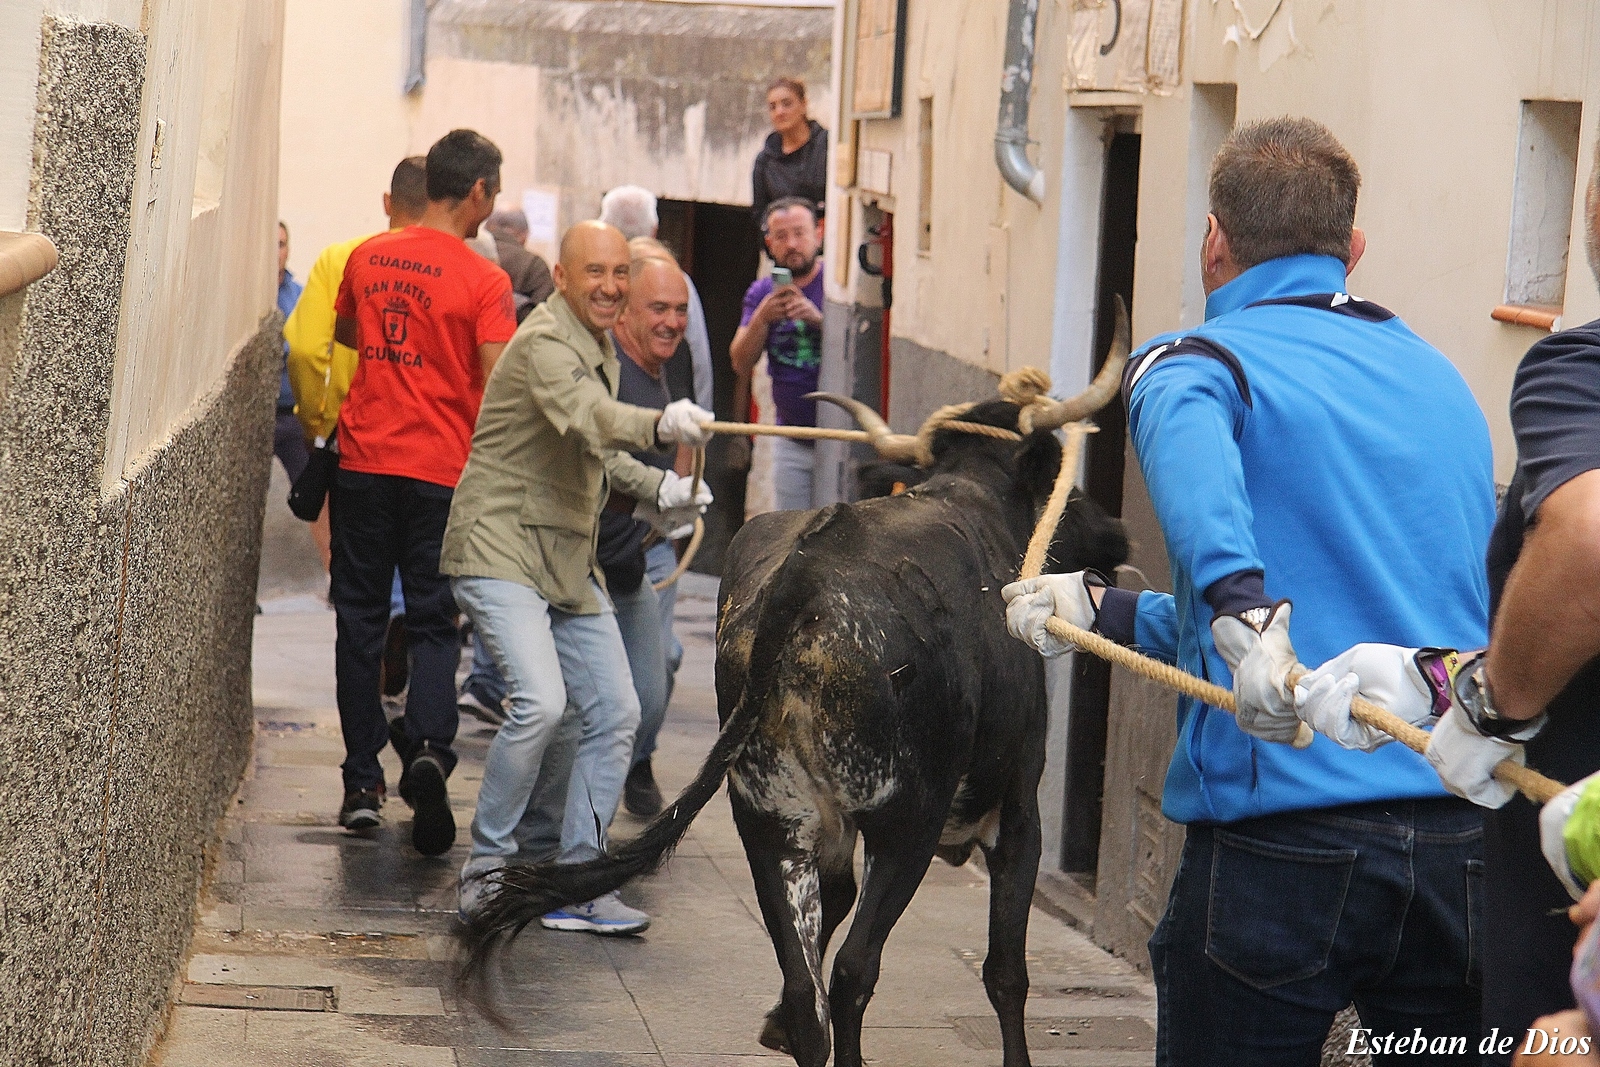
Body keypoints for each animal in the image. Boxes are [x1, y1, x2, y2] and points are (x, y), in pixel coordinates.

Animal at [467, 403, 1132, 1067]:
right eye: (1063, 481)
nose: (1118, 532)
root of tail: (805, 573)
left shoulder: (821, 825)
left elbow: (826, 914)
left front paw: (775, 1025)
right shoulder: (1017, 812)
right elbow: (1006, 972)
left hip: (767, 816)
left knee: (807, 987)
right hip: (906, 826)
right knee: (854, 972)